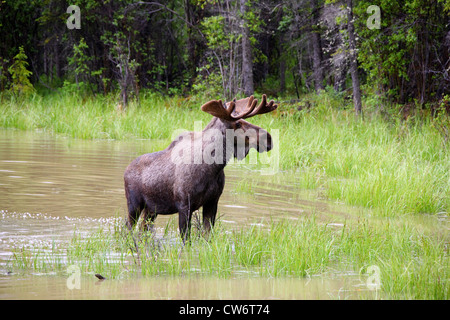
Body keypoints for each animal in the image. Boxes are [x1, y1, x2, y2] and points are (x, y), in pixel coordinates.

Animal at [124, 94, 278, 241]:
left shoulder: (212, 201)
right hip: (134, 205)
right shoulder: (184, 205)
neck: (214, 167)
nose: (269, 138)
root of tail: (126, 170)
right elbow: (186, 240)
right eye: (238, 123)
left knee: (143, 229)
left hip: (151, 210)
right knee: (128, 227)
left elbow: (207, 236)